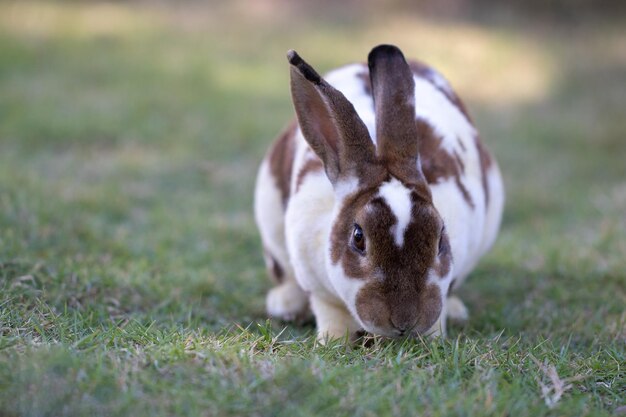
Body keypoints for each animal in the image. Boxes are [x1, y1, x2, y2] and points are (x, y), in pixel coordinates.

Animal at [254, 44, 502, 342]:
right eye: (358, 237)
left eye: (441, 237)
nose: (405, 321)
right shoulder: (318, 289)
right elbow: (330, 314)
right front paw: (333, 340)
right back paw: (286, 304)